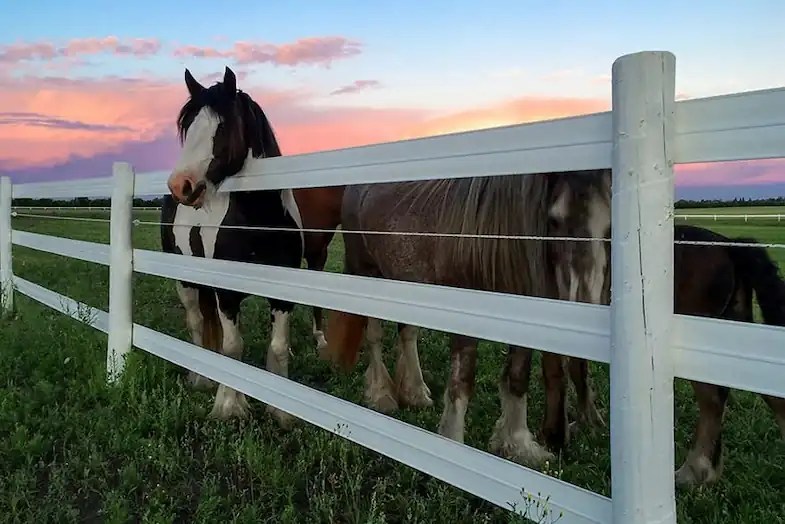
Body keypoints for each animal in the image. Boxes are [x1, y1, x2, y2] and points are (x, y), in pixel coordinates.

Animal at [160, 66, 304, 428]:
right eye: (188, 127)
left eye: (222, 126)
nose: (181, 186)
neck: (259, 221)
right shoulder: (226, 293)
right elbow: (232, 348)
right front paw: (229, 407)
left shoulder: (283, 293)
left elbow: (278, 346)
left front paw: (281, 412)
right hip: (186, 282)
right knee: (197, 323)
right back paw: (201, 378)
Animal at [322, 169, 612, 466]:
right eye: (553, 220)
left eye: (609, 227)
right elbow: (461, 382)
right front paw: (454, 446)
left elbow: (518, 377)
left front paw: (518, 445)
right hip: (368, 273)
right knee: (374, 336)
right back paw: (381, 395)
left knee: (407, 334)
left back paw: (415, 393)